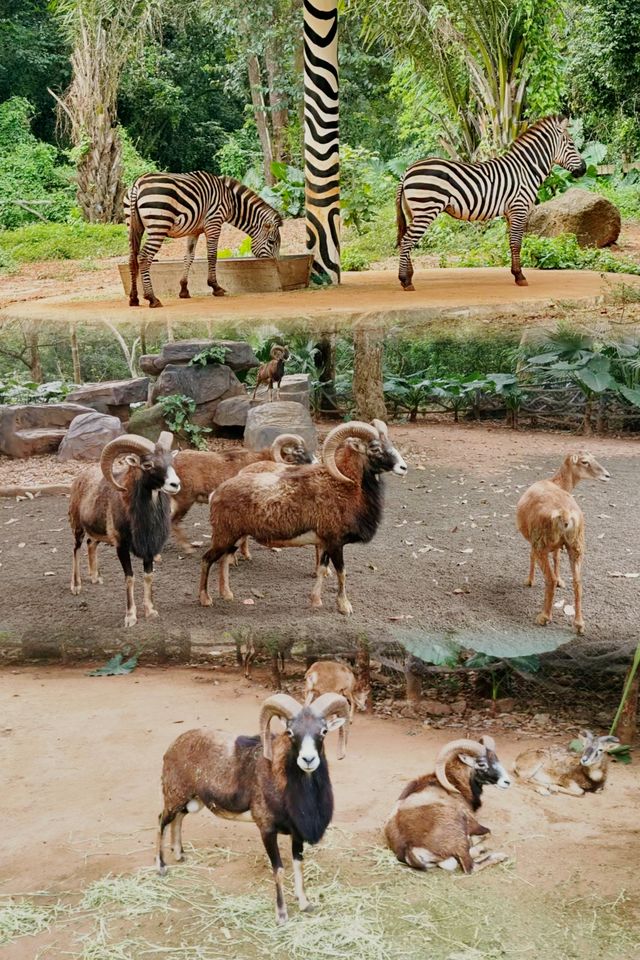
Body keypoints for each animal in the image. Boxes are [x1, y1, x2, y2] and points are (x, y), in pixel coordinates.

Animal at [68, 432, 180, 628]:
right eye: (148, 465)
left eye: (170, 461)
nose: (175, 484)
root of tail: (79, 479)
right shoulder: (122, 547)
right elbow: (130, 577)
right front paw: (130, 617)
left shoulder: (149, 549)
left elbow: (148, 576)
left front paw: (151, 612)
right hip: (78, 528)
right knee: (76, 550)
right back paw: (76, 586)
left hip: (97, 534)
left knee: (91, 544)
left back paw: (96, 578)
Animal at [126, 171, 282, 308]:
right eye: (271, 242)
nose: (277, 265)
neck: (230, 200)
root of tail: (138, 183)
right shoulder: (214, 223)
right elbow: (212, 255)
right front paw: (215, 287)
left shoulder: (194, 230)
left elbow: (189, 257)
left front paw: (184, 290)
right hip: (158, 225)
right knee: (144, 257)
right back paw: (152, 298)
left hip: (133, 226)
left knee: (132, 259)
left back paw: (134, 298)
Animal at [156, 688, 350, 924]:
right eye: (290, 732)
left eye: (323, 731)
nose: (308, 759)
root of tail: (174, 746)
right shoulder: (267, 831)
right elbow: (279, 870)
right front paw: (282, 915)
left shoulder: (297, 834)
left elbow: (298, 865)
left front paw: (305, 904)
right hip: (174, 798)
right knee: (162, 821)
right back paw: (162, 867)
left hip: (192, 802)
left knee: (178, 820)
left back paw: (180, 855)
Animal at [384, 736, 510, 876]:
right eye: (481, 764)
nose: (507, 782)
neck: (455, 783)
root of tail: (408, 848)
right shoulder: (473, 823)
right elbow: (487, 832)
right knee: (470, 866)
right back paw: (496, 855)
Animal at [398, 115, 588, 290]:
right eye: (572, 144)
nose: (584, 169)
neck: (526, 169)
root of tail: (407, 170)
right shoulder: (519, 208)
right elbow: (517, 243)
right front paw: (520, 276)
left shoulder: (510, 212)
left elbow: (512, 243)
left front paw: (515, 273)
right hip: (426, 209)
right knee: (407, 240)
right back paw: (405, 280)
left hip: (414, 212)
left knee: (404, 239)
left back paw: (409, 277)